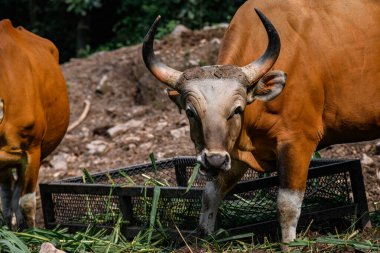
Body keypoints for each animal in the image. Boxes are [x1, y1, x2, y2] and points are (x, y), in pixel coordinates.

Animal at [142, 0, 380, 246]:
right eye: (190, 112)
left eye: (237, 109)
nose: (214, 160)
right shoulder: (235, 152)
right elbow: (210, 196)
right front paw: (204, 239)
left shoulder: (298, 142)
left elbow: (287, 205)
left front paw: (289, 245)